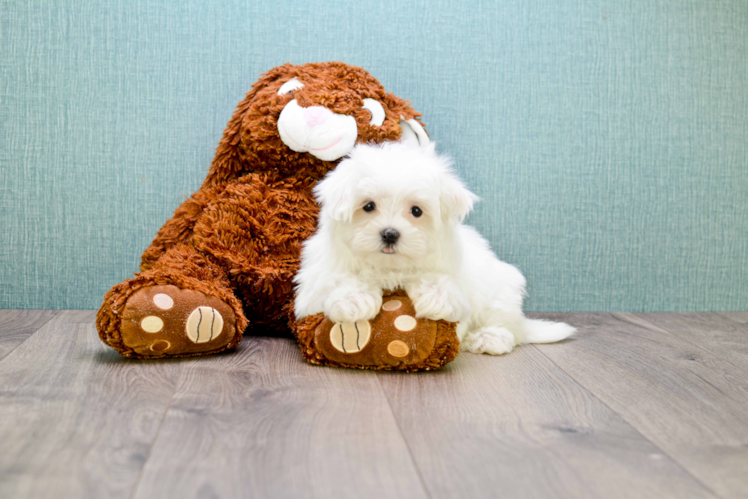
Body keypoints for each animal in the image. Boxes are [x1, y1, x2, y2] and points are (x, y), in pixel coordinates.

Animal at [292, 141, 572, 354]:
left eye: (416, 211)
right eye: (368, 206)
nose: (390, 234)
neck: (389, 269)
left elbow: (439, 281)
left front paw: (438, 297)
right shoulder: (313, 285)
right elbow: (339, 280)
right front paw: (353, 300)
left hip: (499, 290)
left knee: (506, 325)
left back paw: (488, 338)